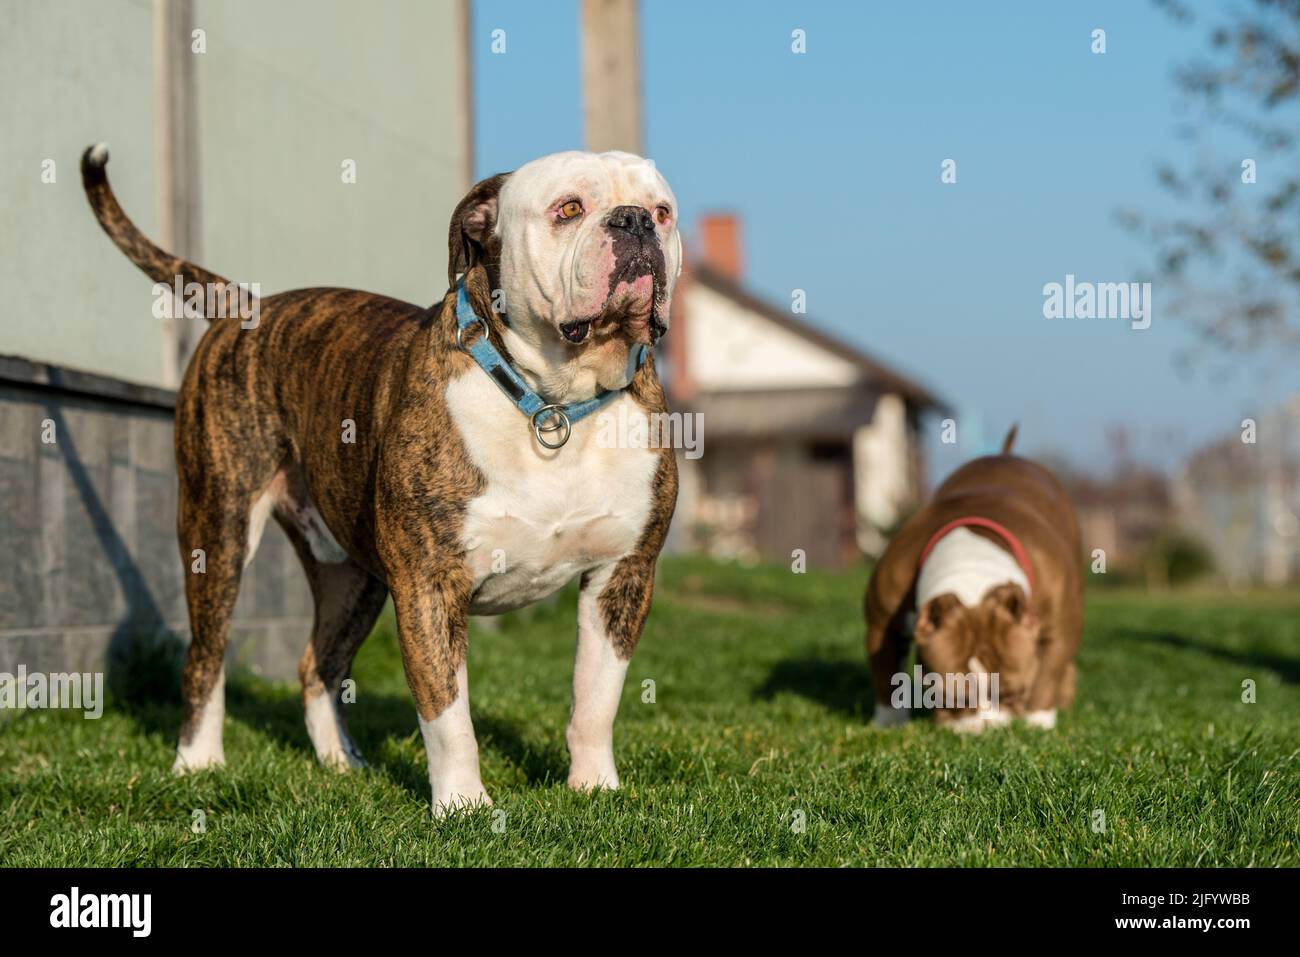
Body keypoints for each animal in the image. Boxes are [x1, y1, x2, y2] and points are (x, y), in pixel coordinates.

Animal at [83, 143, 681, 816]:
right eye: (568, 209)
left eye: (663, 211)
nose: (635, 222)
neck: (554, 399)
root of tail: (248, 306)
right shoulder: (430, 585)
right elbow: (448, 714)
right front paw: (464, 807)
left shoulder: (621, 576)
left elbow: (596, 699)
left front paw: (594, 788)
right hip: (219, 529)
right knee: (206, 655)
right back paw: (199, 763)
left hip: (352, 574)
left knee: (318, 664)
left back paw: (341, 763)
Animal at [863, 431, 1086, 733]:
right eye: (948, 699)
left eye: (1014, 694)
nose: (986, 729)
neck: (972, 571)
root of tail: (1005, 455)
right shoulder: (881, 625)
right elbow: (886, 676)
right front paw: (889, 724)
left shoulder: (1060, 629)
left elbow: (1048, 673)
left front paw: (1038, 722)